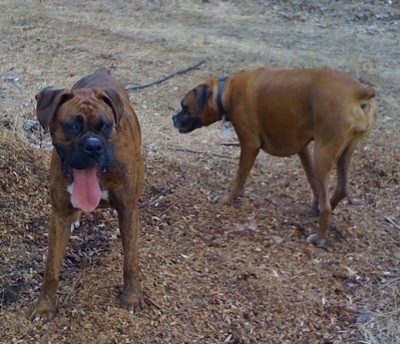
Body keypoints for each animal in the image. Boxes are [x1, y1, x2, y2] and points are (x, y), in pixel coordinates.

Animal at [30, 67, 145, 320]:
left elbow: (130, 261)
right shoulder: (58, 215)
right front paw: (45, 306)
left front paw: (132, 297)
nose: (93, 146)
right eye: (72, 126)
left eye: (105, 126)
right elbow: (51, 266)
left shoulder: (128, 211)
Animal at [172, 67, 378, 246]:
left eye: (184, 106)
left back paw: (318, 238)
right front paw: (314, 203)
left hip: (323, 153)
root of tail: (359, 90)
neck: (226, 91)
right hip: (343, 152)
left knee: (327, 205)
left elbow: (239, 178)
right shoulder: (303, 149)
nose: (173, 118)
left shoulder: (249, 144)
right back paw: (320, 210)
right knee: (341, 189)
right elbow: (312, 180)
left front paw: (227, 199)